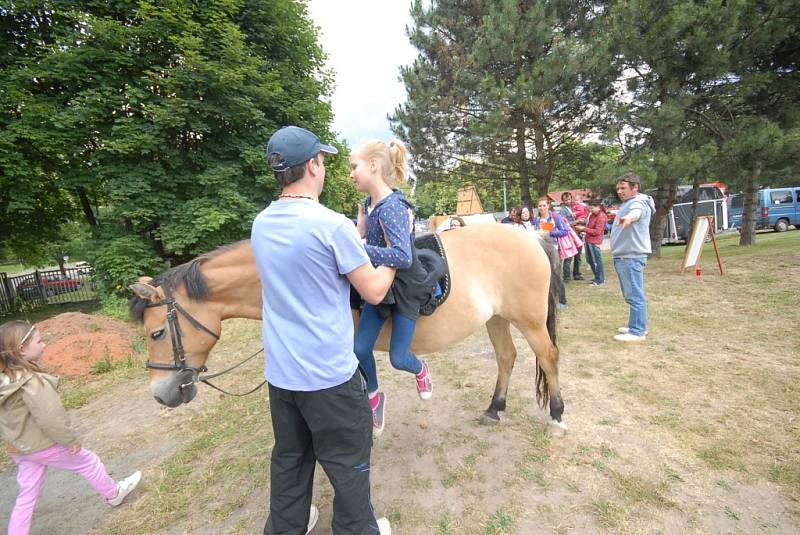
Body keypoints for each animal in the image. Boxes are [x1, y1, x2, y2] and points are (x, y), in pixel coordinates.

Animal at [128, 224, 564, 430]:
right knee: (506, 358)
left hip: (528, 320)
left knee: (548, 357)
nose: (160, 395)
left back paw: (557, 414)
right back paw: (494, 409)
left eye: (156, 333)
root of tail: (530, 235)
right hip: (496, 318)